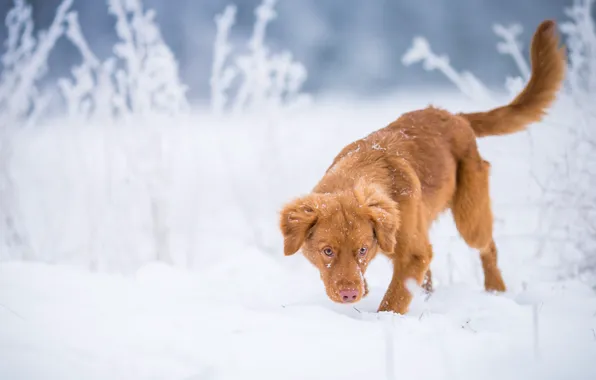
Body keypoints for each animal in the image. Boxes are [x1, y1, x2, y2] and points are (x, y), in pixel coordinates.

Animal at [278, 19, 564, 314]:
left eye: (362, 249)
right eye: (327, 251)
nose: (349, 294)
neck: (360, 170)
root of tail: (455, 116)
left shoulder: (412, 253)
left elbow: (394, 299)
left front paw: (384, 320)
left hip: (469, 216)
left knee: (487, 246)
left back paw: (495, 290)